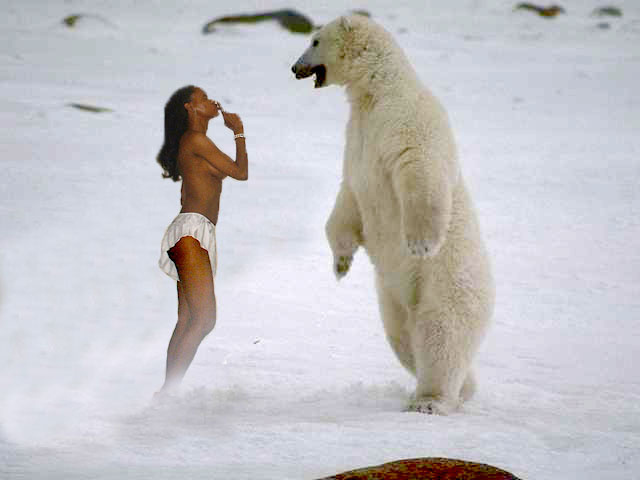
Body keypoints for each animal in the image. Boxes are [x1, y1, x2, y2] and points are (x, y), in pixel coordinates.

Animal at [292, 15, 495, 414]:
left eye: (315, 40)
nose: (294, 67)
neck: (378, 89)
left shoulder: (405, 118)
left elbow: (421, 167)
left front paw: (420, 244)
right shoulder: (356, 137)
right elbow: (349, 195)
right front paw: (340, 263)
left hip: (446, 283)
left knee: (441, 333)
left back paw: (431, 400)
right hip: (393, 297)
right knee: (403, 338)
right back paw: (463, 389)